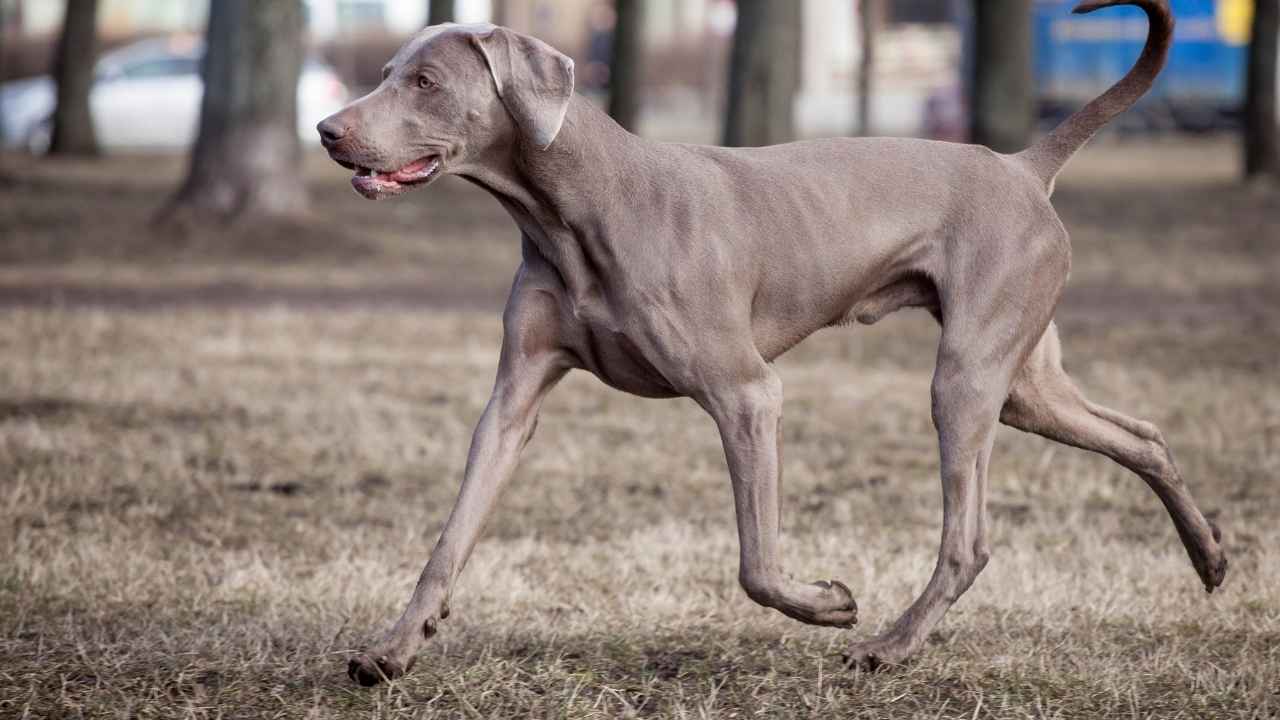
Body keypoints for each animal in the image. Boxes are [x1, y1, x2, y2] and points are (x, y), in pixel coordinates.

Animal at [314, 0, 1223, 681]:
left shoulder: (747, 394)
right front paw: (392, 649)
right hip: (1024, 383)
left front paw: (829, 603)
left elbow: (756, 563)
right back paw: (1210, 556)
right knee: (1141, 435)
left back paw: (889, 646)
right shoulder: (512, 401)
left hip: (968, 375)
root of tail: (1023, 165)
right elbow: (452, 535)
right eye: (388, 72)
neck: (571, 208)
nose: (327, 130)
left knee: (968, 540)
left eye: (427, 82)